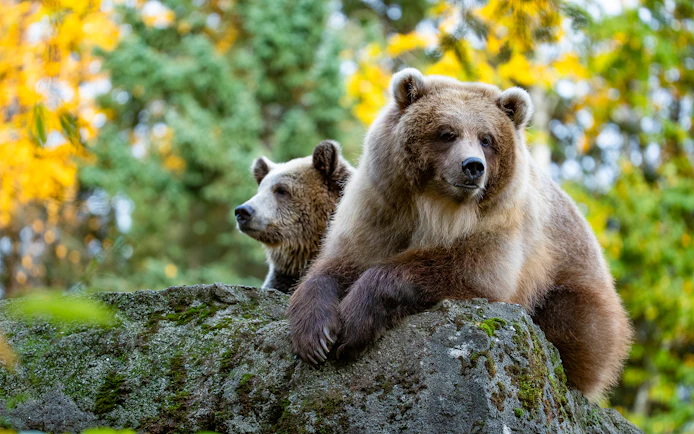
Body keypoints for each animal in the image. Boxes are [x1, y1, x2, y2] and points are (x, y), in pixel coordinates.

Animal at [286, 68, 633, 401]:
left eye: (487, 139)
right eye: (446, 133)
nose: (473, 166)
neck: (437, 209)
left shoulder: (501, 226)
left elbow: (469, 269)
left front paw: (354, 325)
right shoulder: (381, 209)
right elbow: (340, 262)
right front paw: (316, 335)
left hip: (580, 289)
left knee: (572, 321)